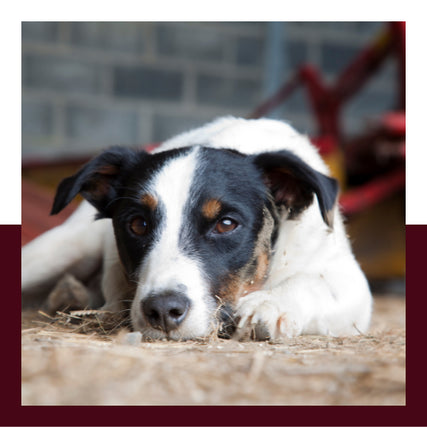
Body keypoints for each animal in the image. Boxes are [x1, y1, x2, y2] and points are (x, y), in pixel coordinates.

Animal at [21, 116, 372, 342]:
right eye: (137, 224)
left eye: (226, 224)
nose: (163, 311)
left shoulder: (348, 280)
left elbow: (313, 283)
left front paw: (270, 305)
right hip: (61, 250)